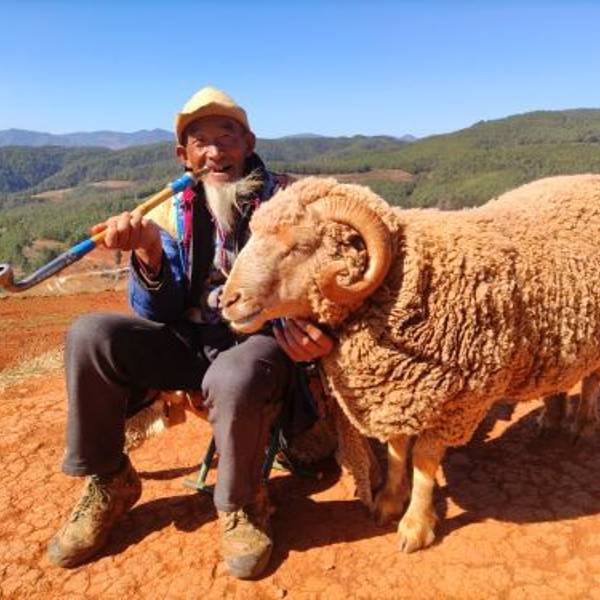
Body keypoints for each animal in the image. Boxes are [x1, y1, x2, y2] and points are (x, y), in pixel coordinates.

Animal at [220, 173, 600, 553]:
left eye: (298, 246)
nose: (226, 301)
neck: (408, 286)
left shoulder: (458, 403)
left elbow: (423, 459)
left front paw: (415, 526)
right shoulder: (397, 393)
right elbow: (397, 450)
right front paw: (389, 501)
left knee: (591, 382)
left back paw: (582, 428)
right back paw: (551, 420)